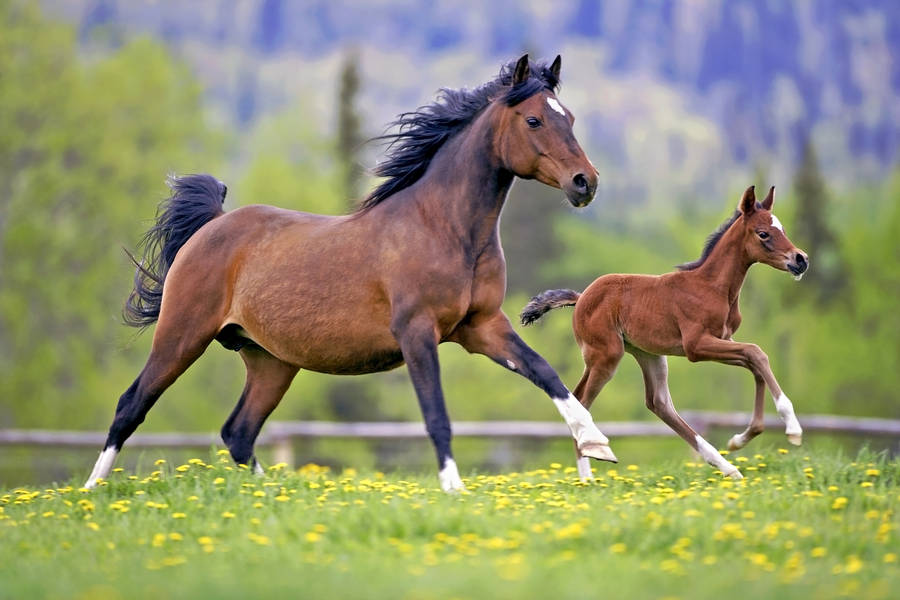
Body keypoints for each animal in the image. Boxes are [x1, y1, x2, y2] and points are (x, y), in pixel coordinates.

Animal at [84, 54, 618, 492]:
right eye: (534, 119)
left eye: (569, 117)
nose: (585, 183)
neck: (444, 228)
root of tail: (212, 225)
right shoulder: (417, 332)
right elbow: (436, 413)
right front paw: (454, 489)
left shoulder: (481, 327)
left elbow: (546, 373)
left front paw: (597, 444)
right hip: (183, 334)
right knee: (131, 405)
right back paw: (91, 491)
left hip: (270, 361)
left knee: (238, 432)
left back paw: (276, 493)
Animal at [520, 185, 809, 480]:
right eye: (763, 233)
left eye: (782, 228)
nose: (800, 259)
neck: (712, 287)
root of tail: (580, 298)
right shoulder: (696, 346)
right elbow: (756, 353)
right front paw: (793, 428)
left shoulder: (723, 340)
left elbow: (755, 363)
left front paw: (740, 439)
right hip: (606, 355)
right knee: (582, 400)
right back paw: (589, 472)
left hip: (649, 354)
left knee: (658, 403)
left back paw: (726, 467)